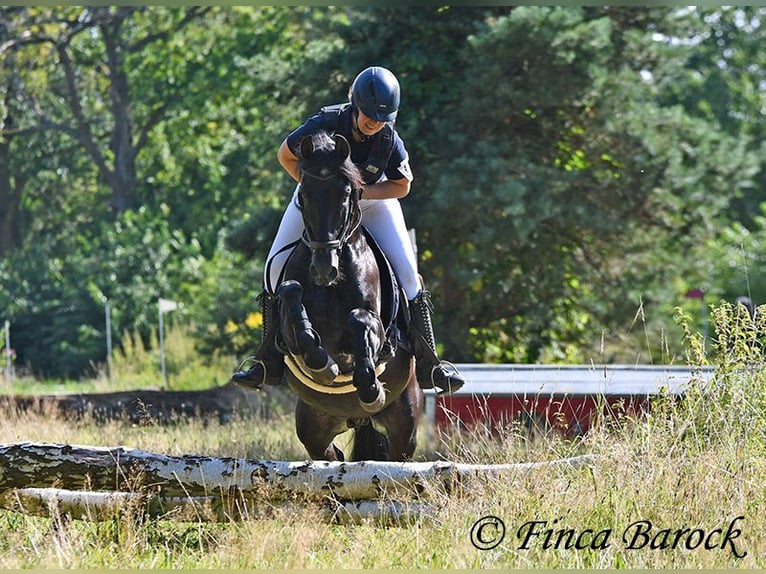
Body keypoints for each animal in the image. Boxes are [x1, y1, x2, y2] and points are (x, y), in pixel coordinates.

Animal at [274, 132, 426, 464]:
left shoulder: (379, 330)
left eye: (345, 195)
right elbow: (292, 296)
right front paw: (323, 364)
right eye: (304, 195)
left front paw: (371, 389)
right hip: (313, 427)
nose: (324, 270)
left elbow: (360, 320)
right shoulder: (288, 332)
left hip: (405, 428)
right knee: (331, 454)